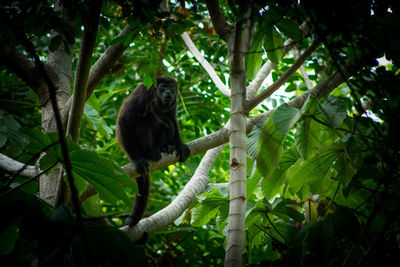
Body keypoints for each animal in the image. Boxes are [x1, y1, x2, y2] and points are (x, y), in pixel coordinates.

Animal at [115, 77, 191, 228]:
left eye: (171, 88)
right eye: (162, 87)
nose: (168, 93)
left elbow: (172, 118)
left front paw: (180, 145)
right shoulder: (143, 92)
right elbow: (125, 119)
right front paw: (137, 158)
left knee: (167, 121)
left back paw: (165, 148)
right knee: (142, 120)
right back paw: (149, 153)